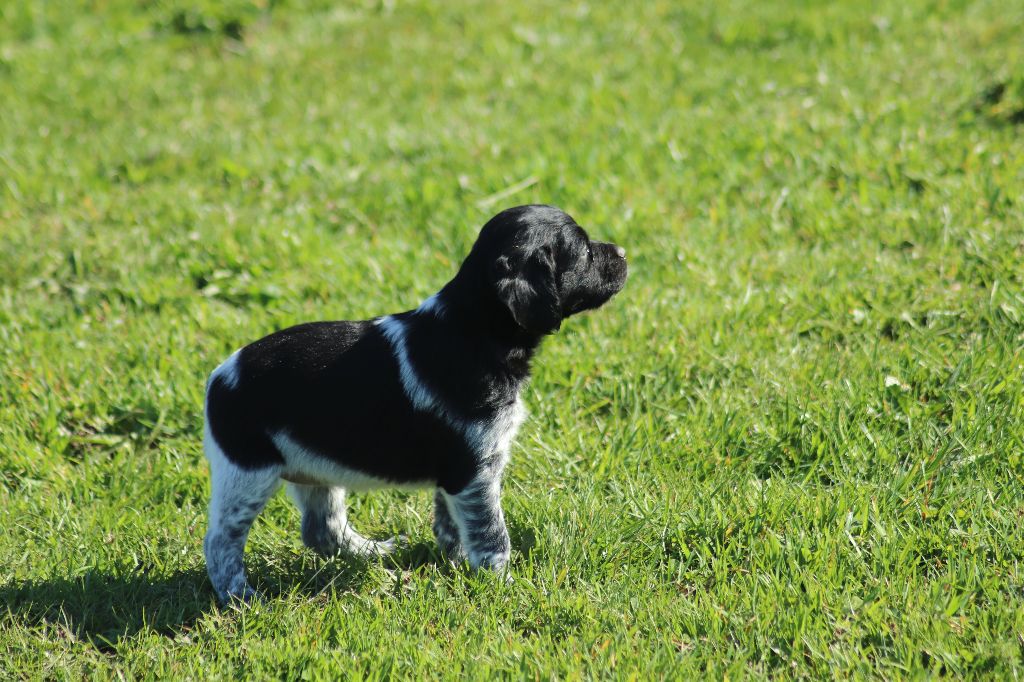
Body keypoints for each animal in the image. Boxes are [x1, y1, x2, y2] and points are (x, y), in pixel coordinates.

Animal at [202, 204, 628, 602]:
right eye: (584, 252)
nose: (624, 252)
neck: (475, 329)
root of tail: (218, 377)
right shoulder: (476, 471)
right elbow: (492, 537)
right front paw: (503, 587)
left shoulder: (456, 475)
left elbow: (451, 527)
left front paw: (457, 568)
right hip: (247, 475)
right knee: (221, 544)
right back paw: (243, 599)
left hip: (316, 469)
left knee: (322, 530)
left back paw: (374, 553)